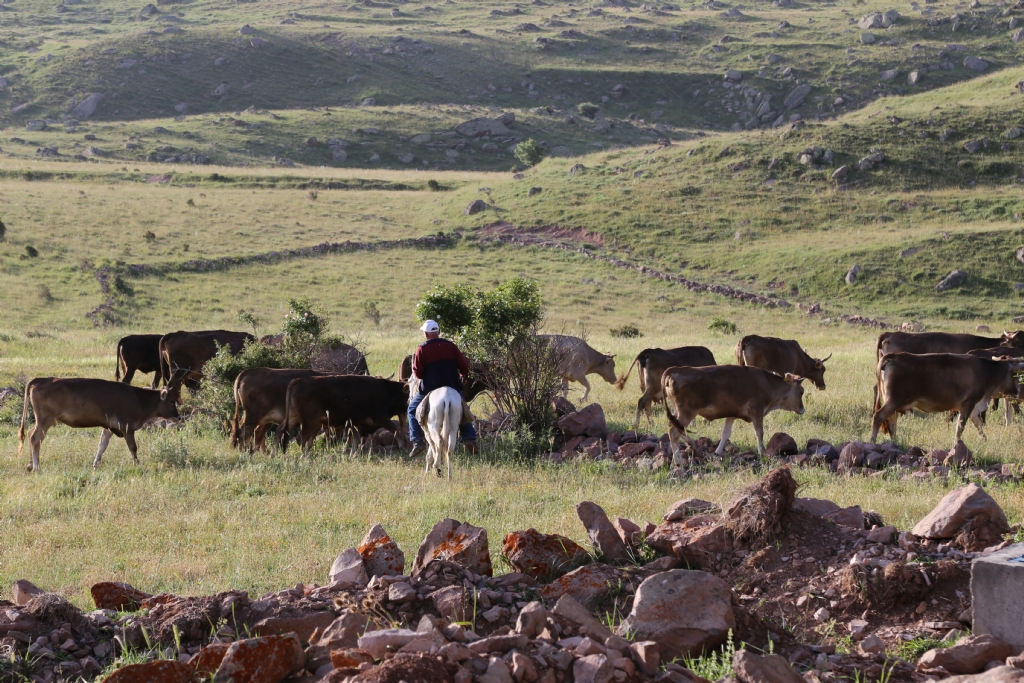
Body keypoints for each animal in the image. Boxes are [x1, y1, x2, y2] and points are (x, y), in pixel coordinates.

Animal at [18, 370, 185, 473]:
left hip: (42, 421)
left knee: (31, 433)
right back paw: (36, 466)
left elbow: (102, 445)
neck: (138, 399)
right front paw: (137, 464)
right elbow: (133, 447)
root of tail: (41, 380)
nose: (178, 417)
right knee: (35, 438)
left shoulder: (109, 427)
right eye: (172, 401)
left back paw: (30, 464)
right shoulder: (127, 427)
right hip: (45, 420)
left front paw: (95, 464)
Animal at [280, 374, 411, 454]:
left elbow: (356, 440)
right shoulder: (381, 418)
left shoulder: (354, 423)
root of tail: (298, 380)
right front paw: (403, 447)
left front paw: (353, 454)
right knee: (301, 439)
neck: (385, 391)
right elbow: (396, 430)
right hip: (308, 422)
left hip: (299, 419)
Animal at [659, 362, 802, 464]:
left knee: (677, 428)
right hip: (687, 413)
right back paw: (678, 461)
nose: (802, 409)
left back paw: (692, 445)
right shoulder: (757, 411)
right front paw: (761, 452)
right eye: (801, 391)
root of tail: (676, 370)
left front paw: (717, 452)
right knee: (674, 432)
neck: (768, 383)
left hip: (678, 413)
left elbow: (725, 434)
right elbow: (759, 433)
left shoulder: (731, 415)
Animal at [872, 352, 1024, 448]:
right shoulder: (967, 404)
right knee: (879, 416)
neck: (985, 371)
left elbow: (979, 425)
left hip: (894, 403)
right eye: (1015, 374)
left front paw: (985, 441)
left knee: (891, 421)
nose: (1019, 393)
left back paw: (895, 443)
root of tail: (893, 356)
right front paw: (956, 445)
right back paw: (872, 442)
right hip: (894, 401)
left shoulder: (974, 409)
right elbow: (960, 429)